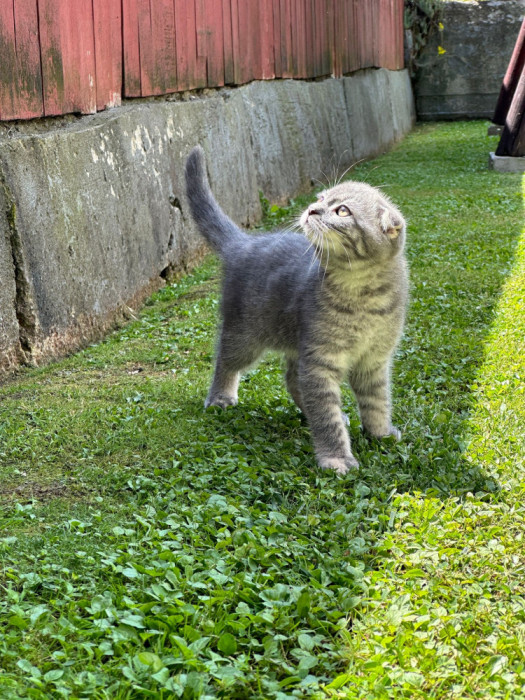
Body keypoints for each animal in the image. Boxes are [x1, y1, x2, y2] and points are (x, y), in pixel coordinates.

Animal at [185, 144, 410, 474]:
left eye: (342, 210)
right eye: (320, 199)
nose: (311, 209)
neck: (362, 296)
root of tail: (244, 244)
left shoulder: (373, 360)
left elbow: (377, 401)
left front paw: (380, 432)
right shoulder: (320, 359)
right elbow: (326, 415)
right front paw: (336, 457)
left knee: (292, 378)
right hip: (245, 334)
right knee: (226, 361)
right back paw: (220, 396)